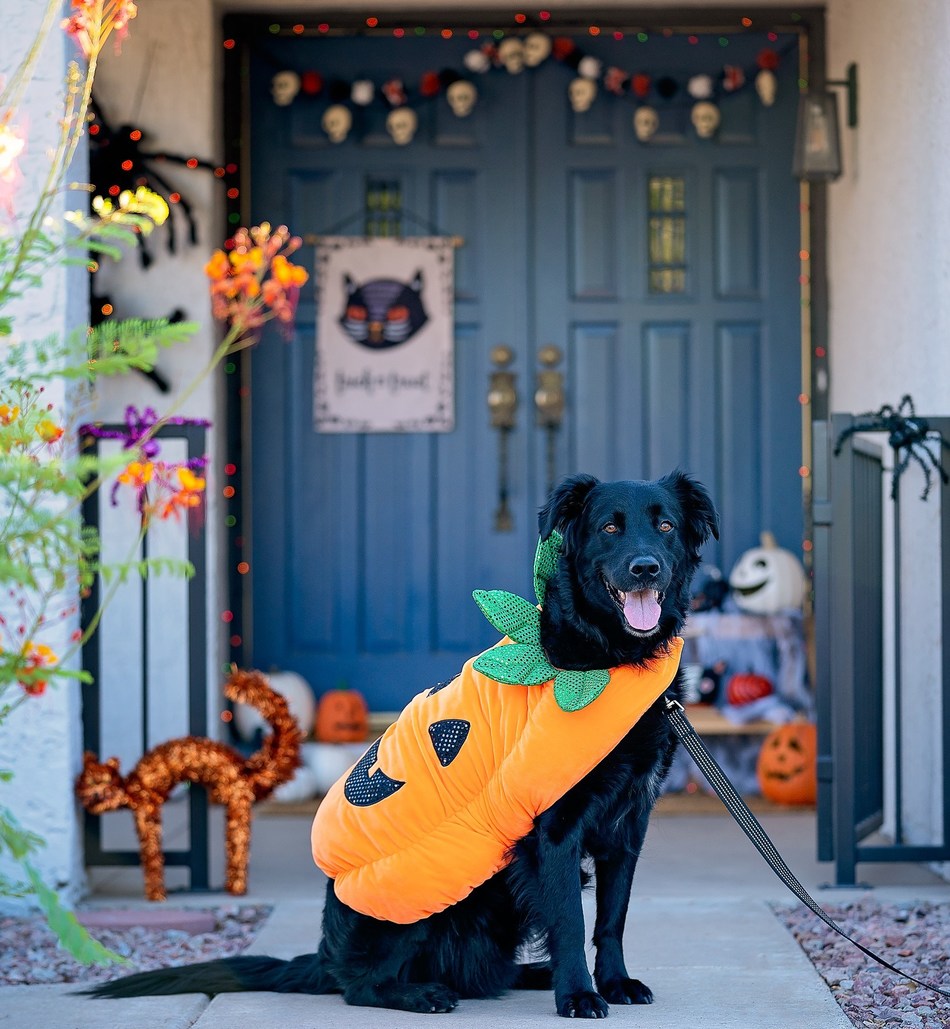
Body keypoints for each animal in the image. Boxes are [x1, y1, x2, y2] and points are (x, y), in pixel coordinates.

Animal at [89, 473, 716, 1020]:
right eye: (609, 528)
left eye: (664, 525)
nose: (645, 567)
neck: (607, 657)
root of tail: (325, 953)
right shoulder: (555, 830)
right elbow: (569, 918)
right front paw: (580, 996)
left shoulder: (628, 825)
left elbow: (610, 920)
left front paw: (613, 983)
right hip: (419, 895)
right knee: (360, 986)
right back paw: (423, 994)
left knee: (476, 972)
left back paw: (526, 975)